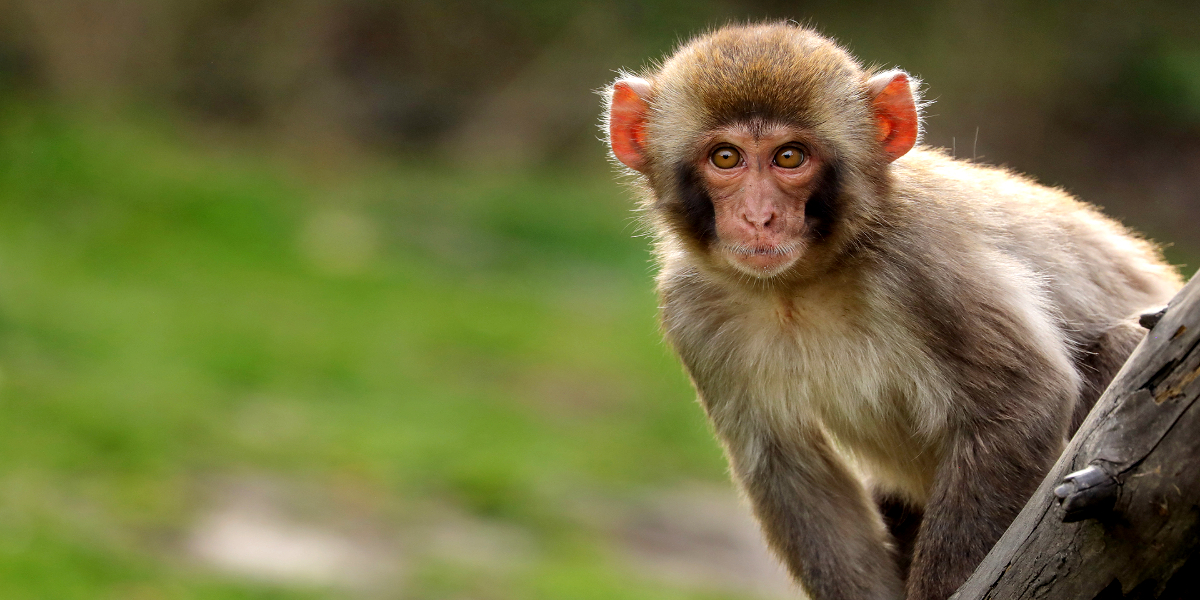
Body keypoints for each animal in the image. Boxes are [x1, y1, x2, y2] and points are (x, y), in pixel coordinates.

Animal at [603, 23, 1182, 600]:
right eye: (726, 158)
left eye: (789, 157)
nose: (759, 217)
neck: (799, 284)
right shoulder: (693, 310)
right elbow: (788, 470)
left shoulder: (923, 263)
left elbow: (1022, 402)